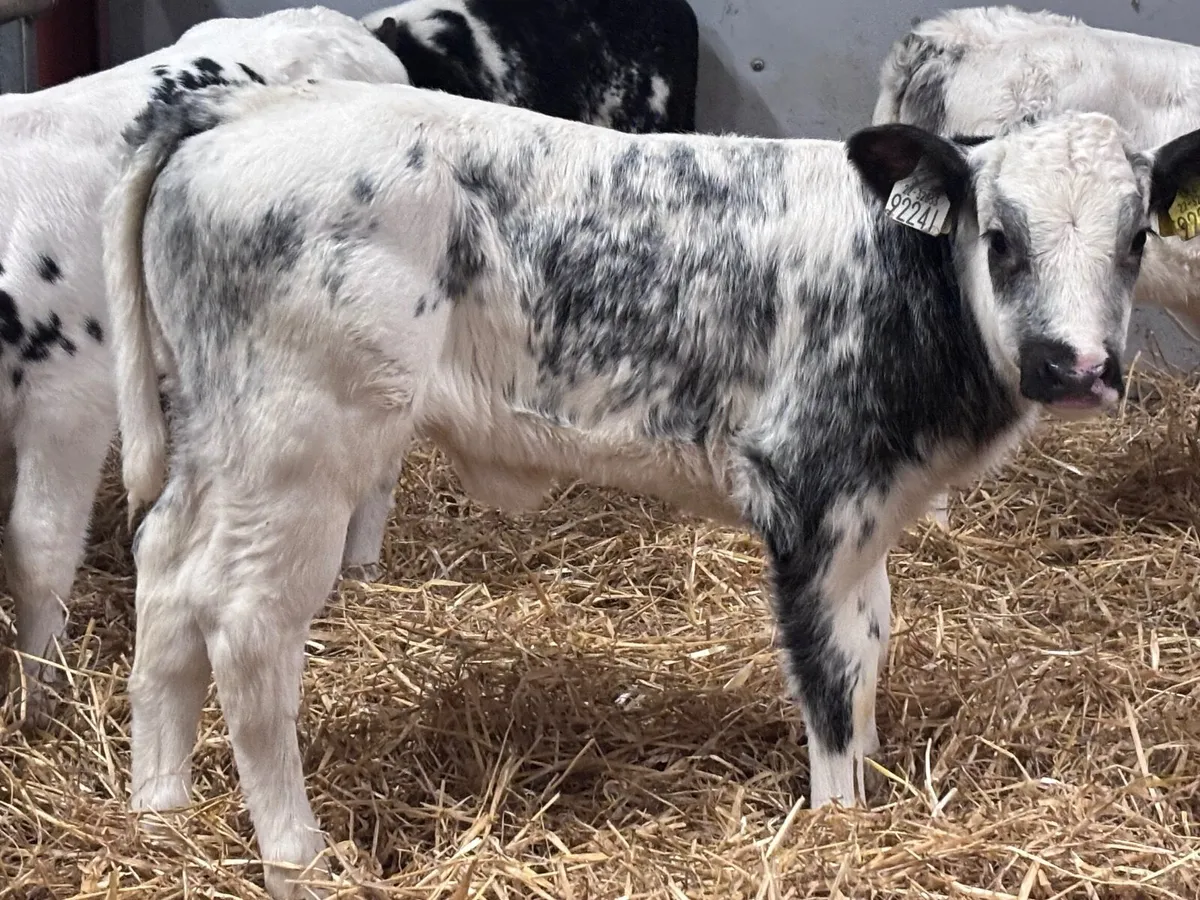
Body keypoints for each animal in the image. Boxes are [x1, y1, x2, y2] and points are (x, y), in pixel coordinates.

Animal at [103, 77, 1200, 897]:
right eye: (1000, 238)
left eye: (1136, 238)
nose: (1076, 365)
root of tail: (239, 105)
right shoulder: (809, 493)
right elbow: (832, 676)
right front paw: (842, 829)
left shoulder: (868, 518)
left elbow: (872, 649)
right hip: (300, 447)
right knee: (245, 622)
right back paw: (296, 856)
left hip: (218, 441)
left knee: (166, 573)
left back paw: (159, 813)